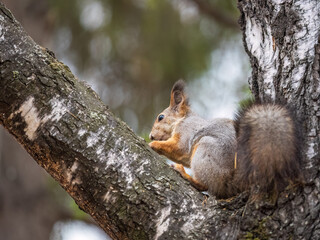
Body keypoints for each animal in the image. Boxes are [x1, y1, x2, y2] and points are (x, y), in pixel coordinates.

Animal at [148, 79, 302, 199]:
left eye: (160, 117)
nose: (151, 136)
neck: (183, 119)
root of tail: (235, 180)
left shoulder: (187, 131)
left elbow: (180, 147)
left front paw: (153, 144)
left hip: (206, 151)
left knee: (205, 184)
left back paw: (185, 174)